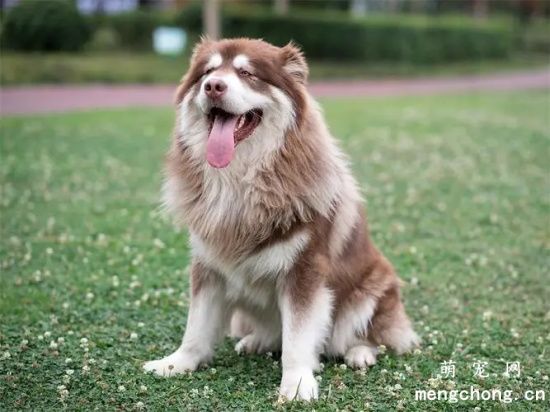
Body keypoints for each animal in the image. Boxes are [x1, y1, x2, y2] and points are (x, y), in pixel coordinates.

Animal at [144, 37, 420, 400]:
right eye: (207, 72)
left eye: (247, 73)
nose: (213, 86)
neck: (241, 183)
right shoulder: (208, 265)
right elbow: (197, 326)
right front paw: (177, 363)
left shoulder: (304, 271)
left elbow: (298, 337)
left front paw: (297, 382)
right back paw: (256, 341)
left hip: (373, 287)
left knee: (373, 334)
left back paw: (360, 352)